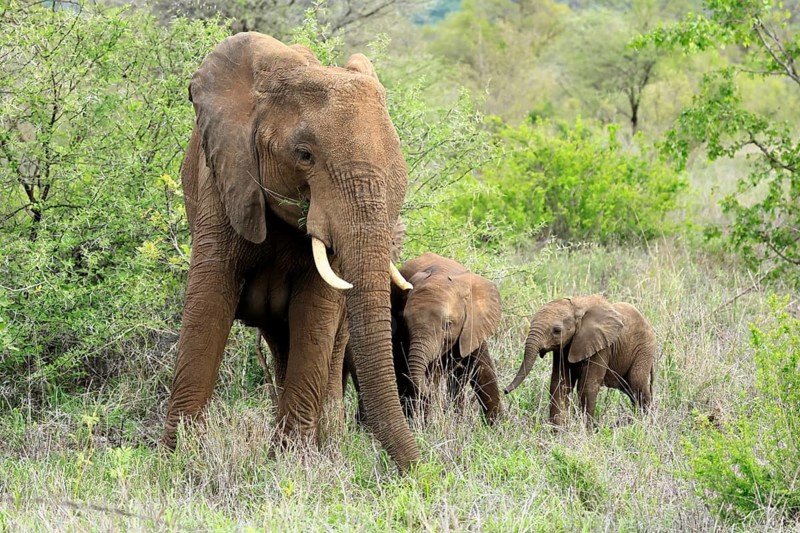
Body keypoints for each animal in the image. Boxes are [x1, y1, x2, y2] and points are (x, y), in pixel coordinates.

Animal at [162, 32, 420, 471]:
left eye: (396, 167)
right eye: (304, 155)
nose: (423, 471)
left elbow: (315, 316)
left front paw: (289, 465)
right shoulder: (224, 182)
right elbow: (207, 307)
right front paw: (175, 462)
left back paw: (328, 441)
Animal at [504, 295, 656, 427]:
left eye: (557, 330)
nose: (504, 390)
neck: (577, 307)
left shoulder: (601, 346)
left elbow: (587, 386)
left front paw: (586, 431)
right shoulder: (563, 348)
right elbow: (560, 385)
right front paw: (558, 433)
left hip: (644, 348)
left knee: (637, 384)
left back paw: (645, 423)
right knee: (631, 390)